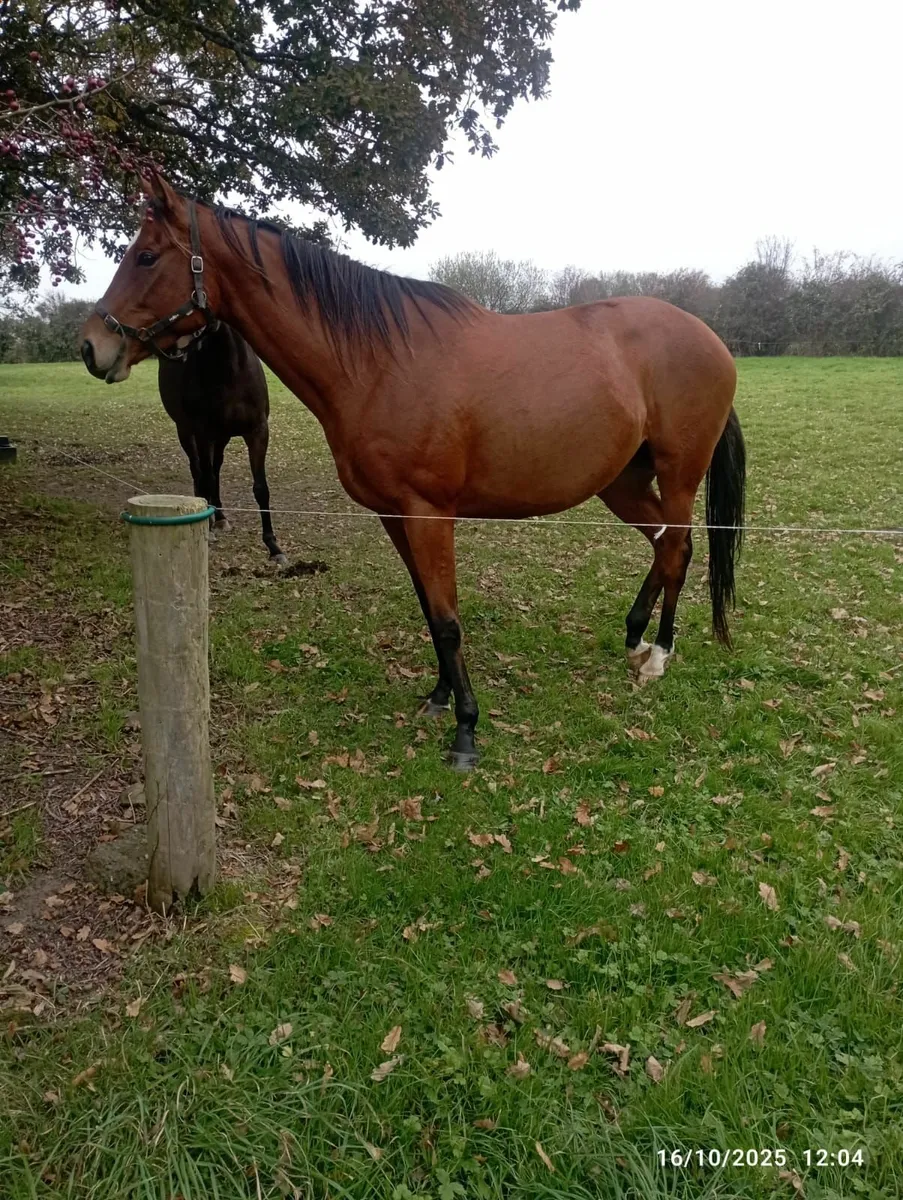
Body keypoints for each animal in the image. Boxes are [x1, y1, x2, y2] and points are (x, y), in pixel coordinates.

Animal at [157, 320, 287, 565]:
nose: (178, 347)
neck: (230, 369)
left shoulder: (258, 433)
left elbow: (261, 488)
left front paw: (274, 546)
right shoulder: (202, 433)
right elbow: (206, 478)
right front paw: (206, 528)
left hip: (221, 438)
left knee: (214, 470)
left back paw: (219, 516)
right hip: (186, 432)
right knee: (199, 471)